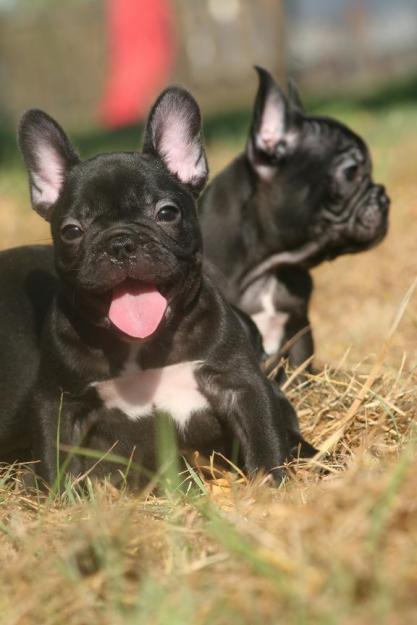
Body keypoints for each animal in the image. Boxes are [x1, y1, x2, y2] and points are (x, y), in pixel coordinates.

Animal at [2, 84, 316, 482]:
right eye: (71, 231)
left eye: (167, 212)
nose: (120, 243)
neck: (142, 346)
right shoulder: (58, 403)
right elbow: (58, 465)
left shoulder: (242, 385)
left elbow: (264, 440)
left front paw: (270, 485)